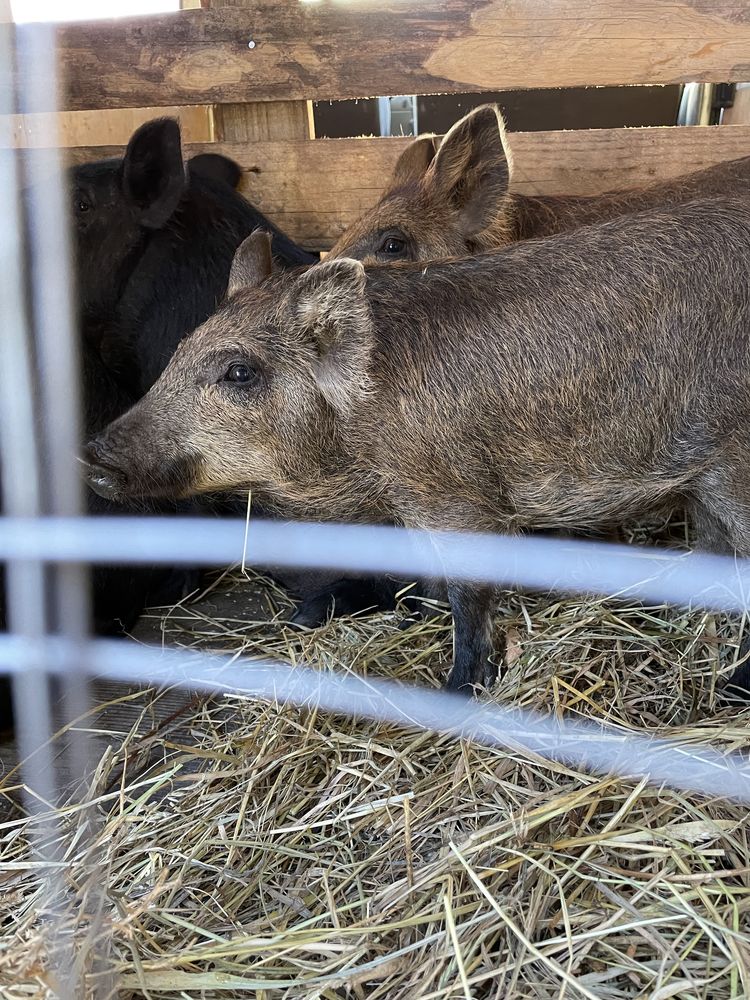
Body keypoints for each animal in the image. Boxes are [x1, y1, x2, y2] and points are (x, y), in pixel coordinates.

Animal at [83, 199, 750, 692]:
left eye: (239, 372)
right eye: (179, 351)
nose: (92, 454)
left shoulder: (456, 496)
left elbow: (468, 595)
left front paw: (455, 691)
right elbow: (428, 575)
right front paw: (414, 617)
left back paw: (731, 688)